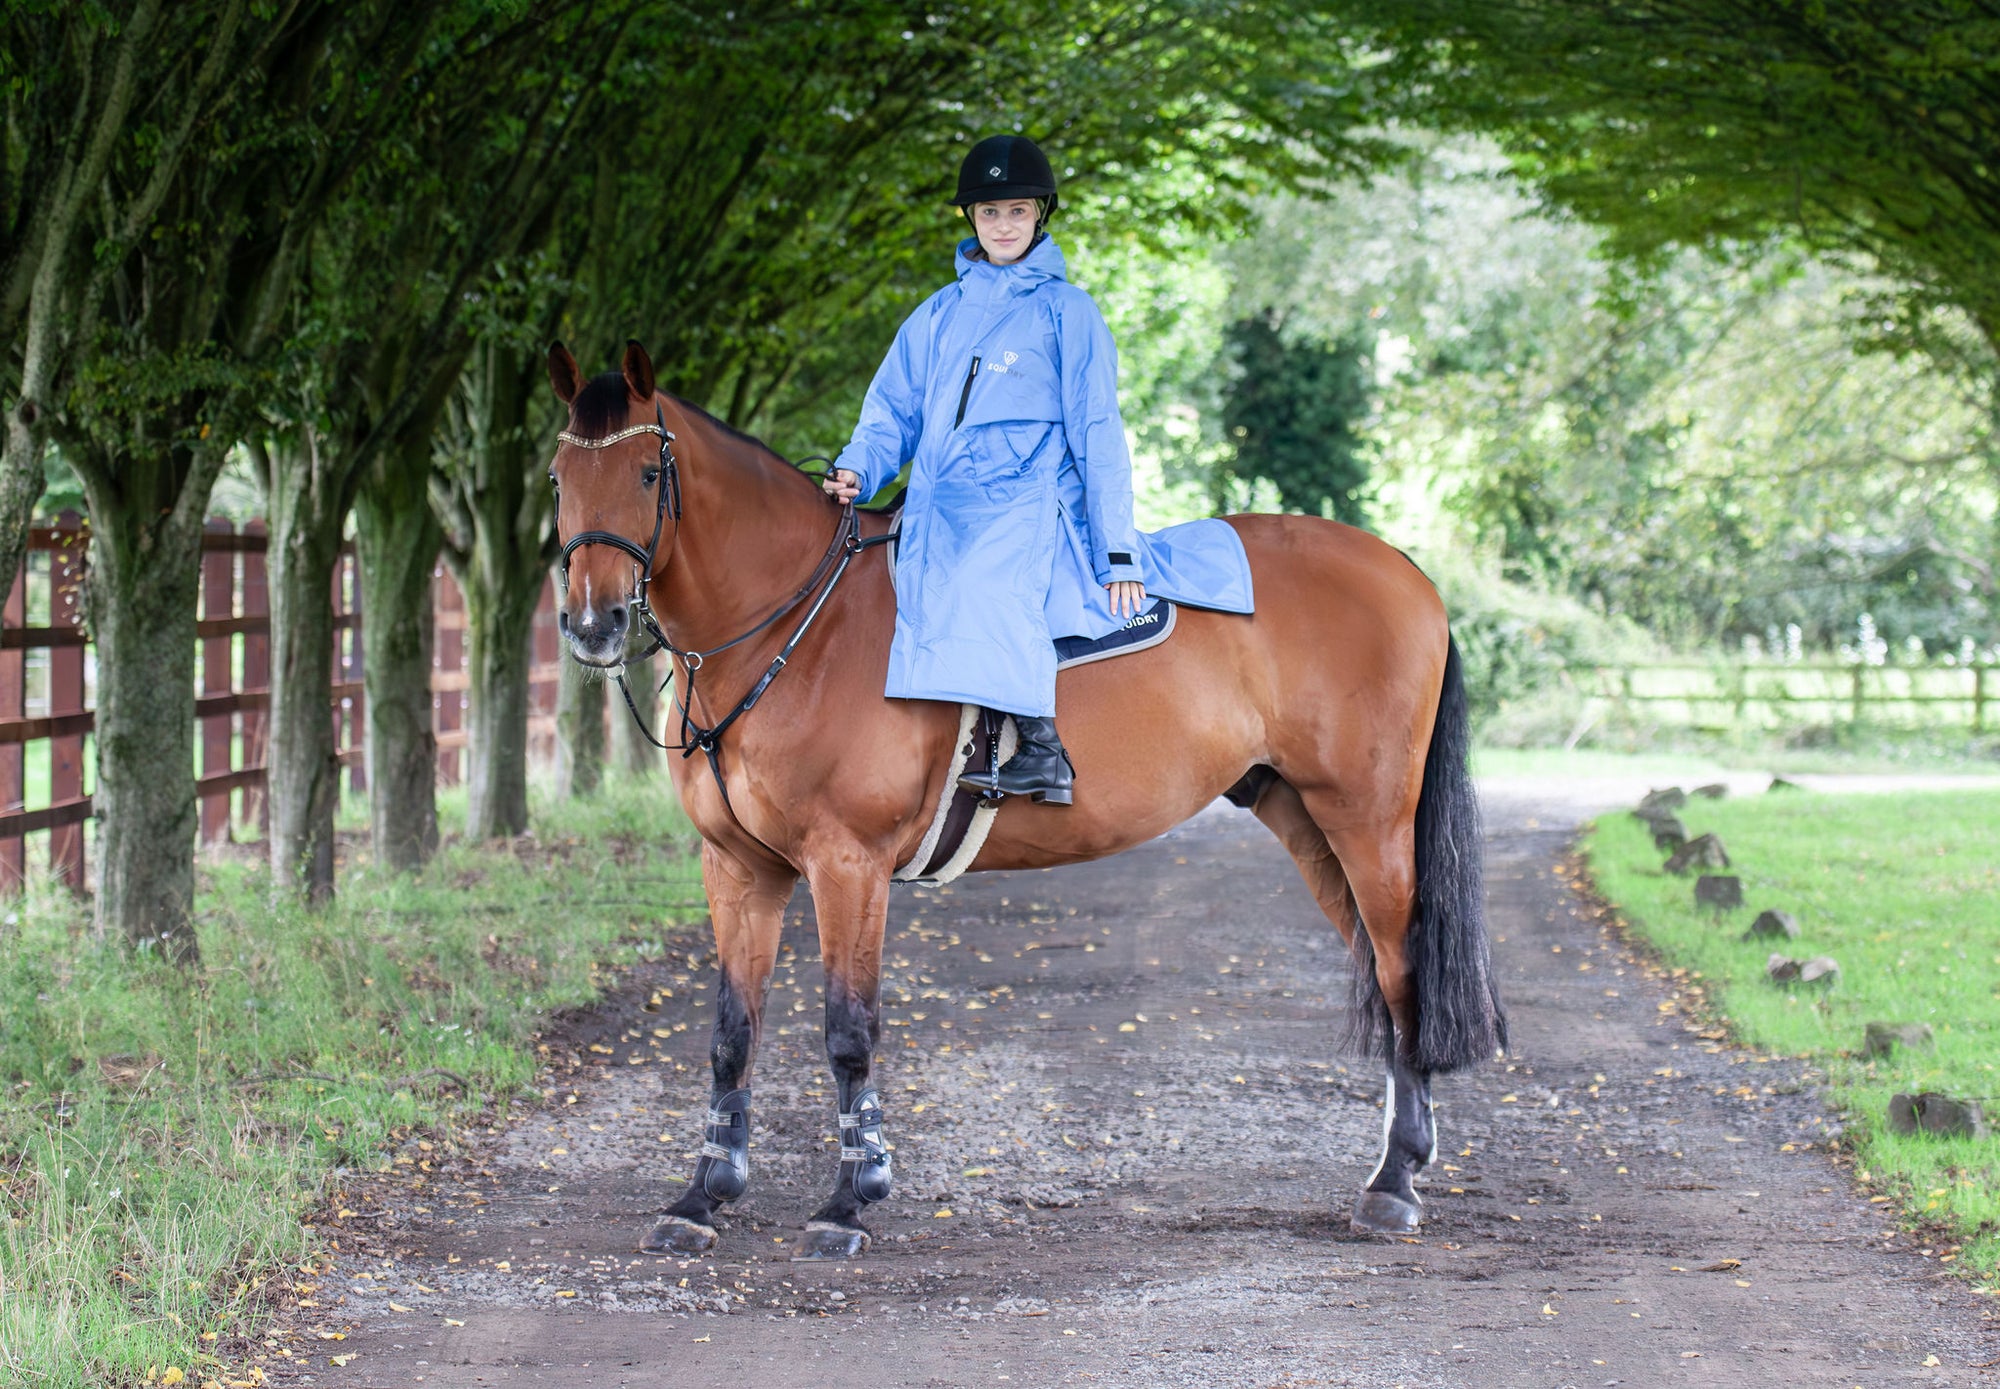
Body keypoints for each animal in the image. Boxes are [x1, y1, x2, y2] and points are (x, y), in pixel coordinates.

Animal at [544, 342, 1504, 1264]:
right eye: (557, 479)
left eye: (646, 474)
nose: (591, 624)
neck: (799, 627)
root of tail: (1403, 569)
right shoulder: (741, 869)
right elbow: (730, 1033)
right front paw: (701, 1196)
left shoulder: (847, 863)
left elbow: (849, 1031)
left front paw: (850, 1198)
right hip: (1307, 822)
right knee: (1382, 975)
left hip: (1369, 823)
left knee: (1402, 973)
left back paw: (1395, 1183)